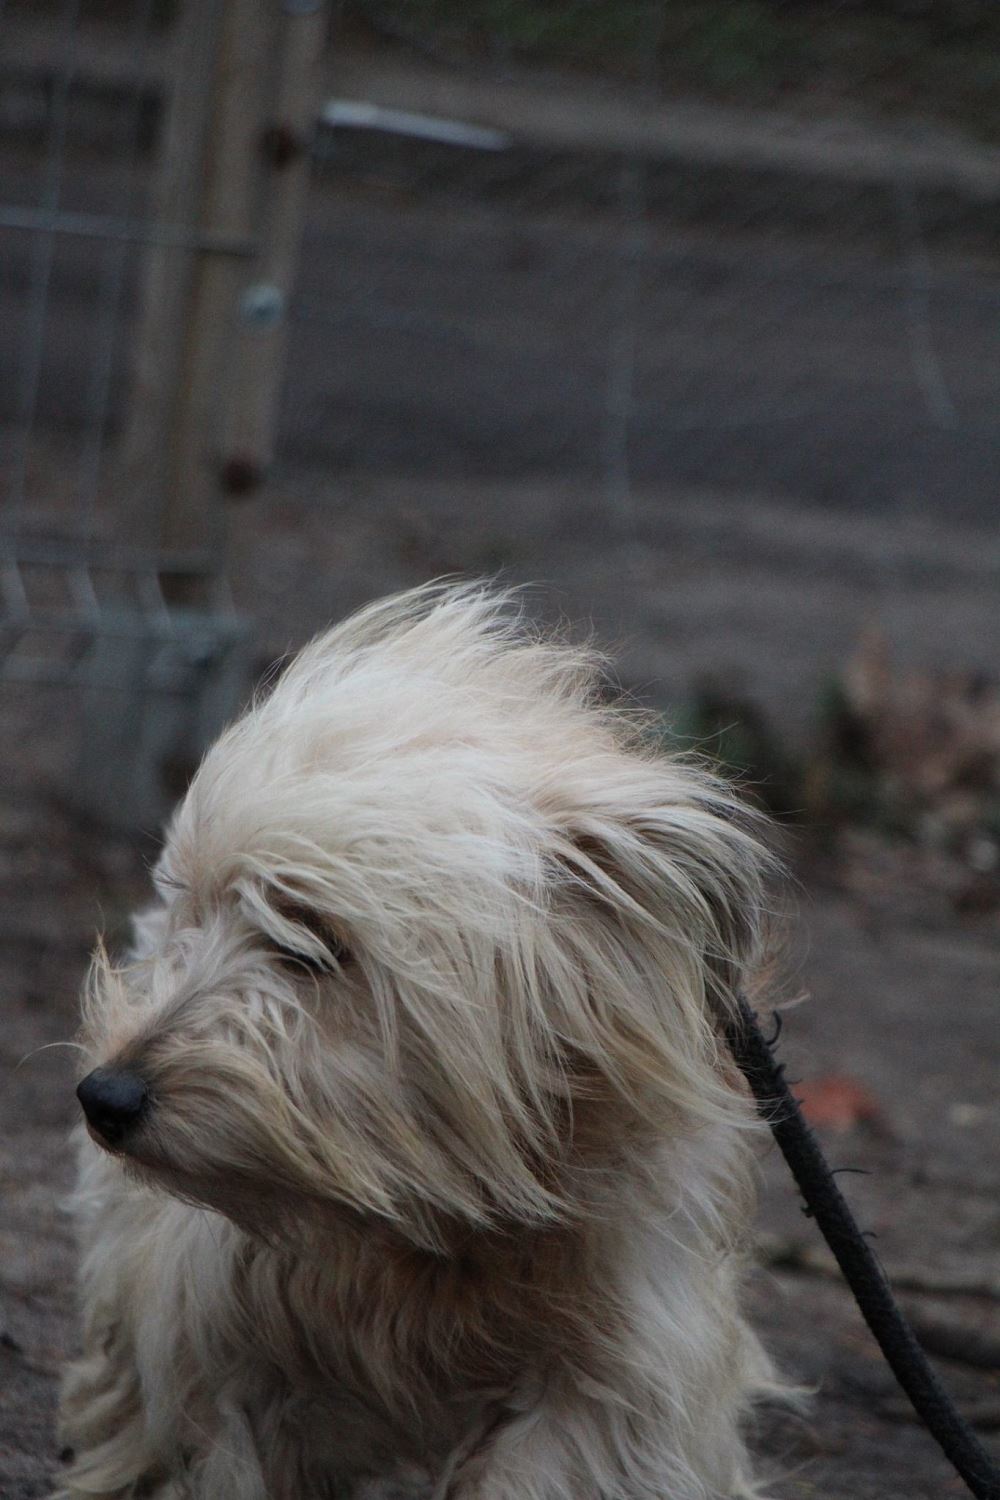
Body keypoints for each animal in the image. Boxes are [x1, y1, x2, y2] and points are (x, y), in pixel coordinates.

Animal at [57, 583, 779, 1500]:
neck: (432, 1225)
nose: (105, 1097)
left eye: (312, 942)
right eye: (196, 908)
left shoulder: (614, 1384)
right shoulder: (223, 1352)